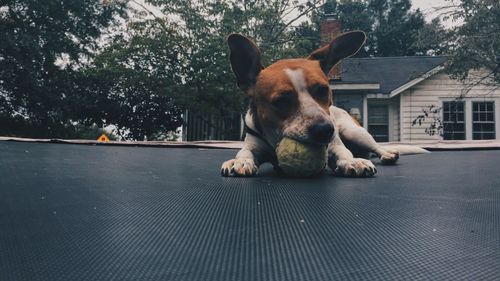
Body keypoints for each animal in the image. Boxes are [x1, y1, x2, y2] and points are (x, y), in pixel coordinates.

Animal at [223, 31, 402, 177]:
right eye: (281, 101)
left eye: (323, 90)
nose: (325, 130)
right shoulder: (252, 145)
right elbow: (245, 153)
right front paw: (241, 161)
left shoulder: (334, 144)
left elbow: (344, 152)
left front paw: (351, 161)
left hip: (354, 132)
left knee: (375, 146)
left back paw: (387, 154)